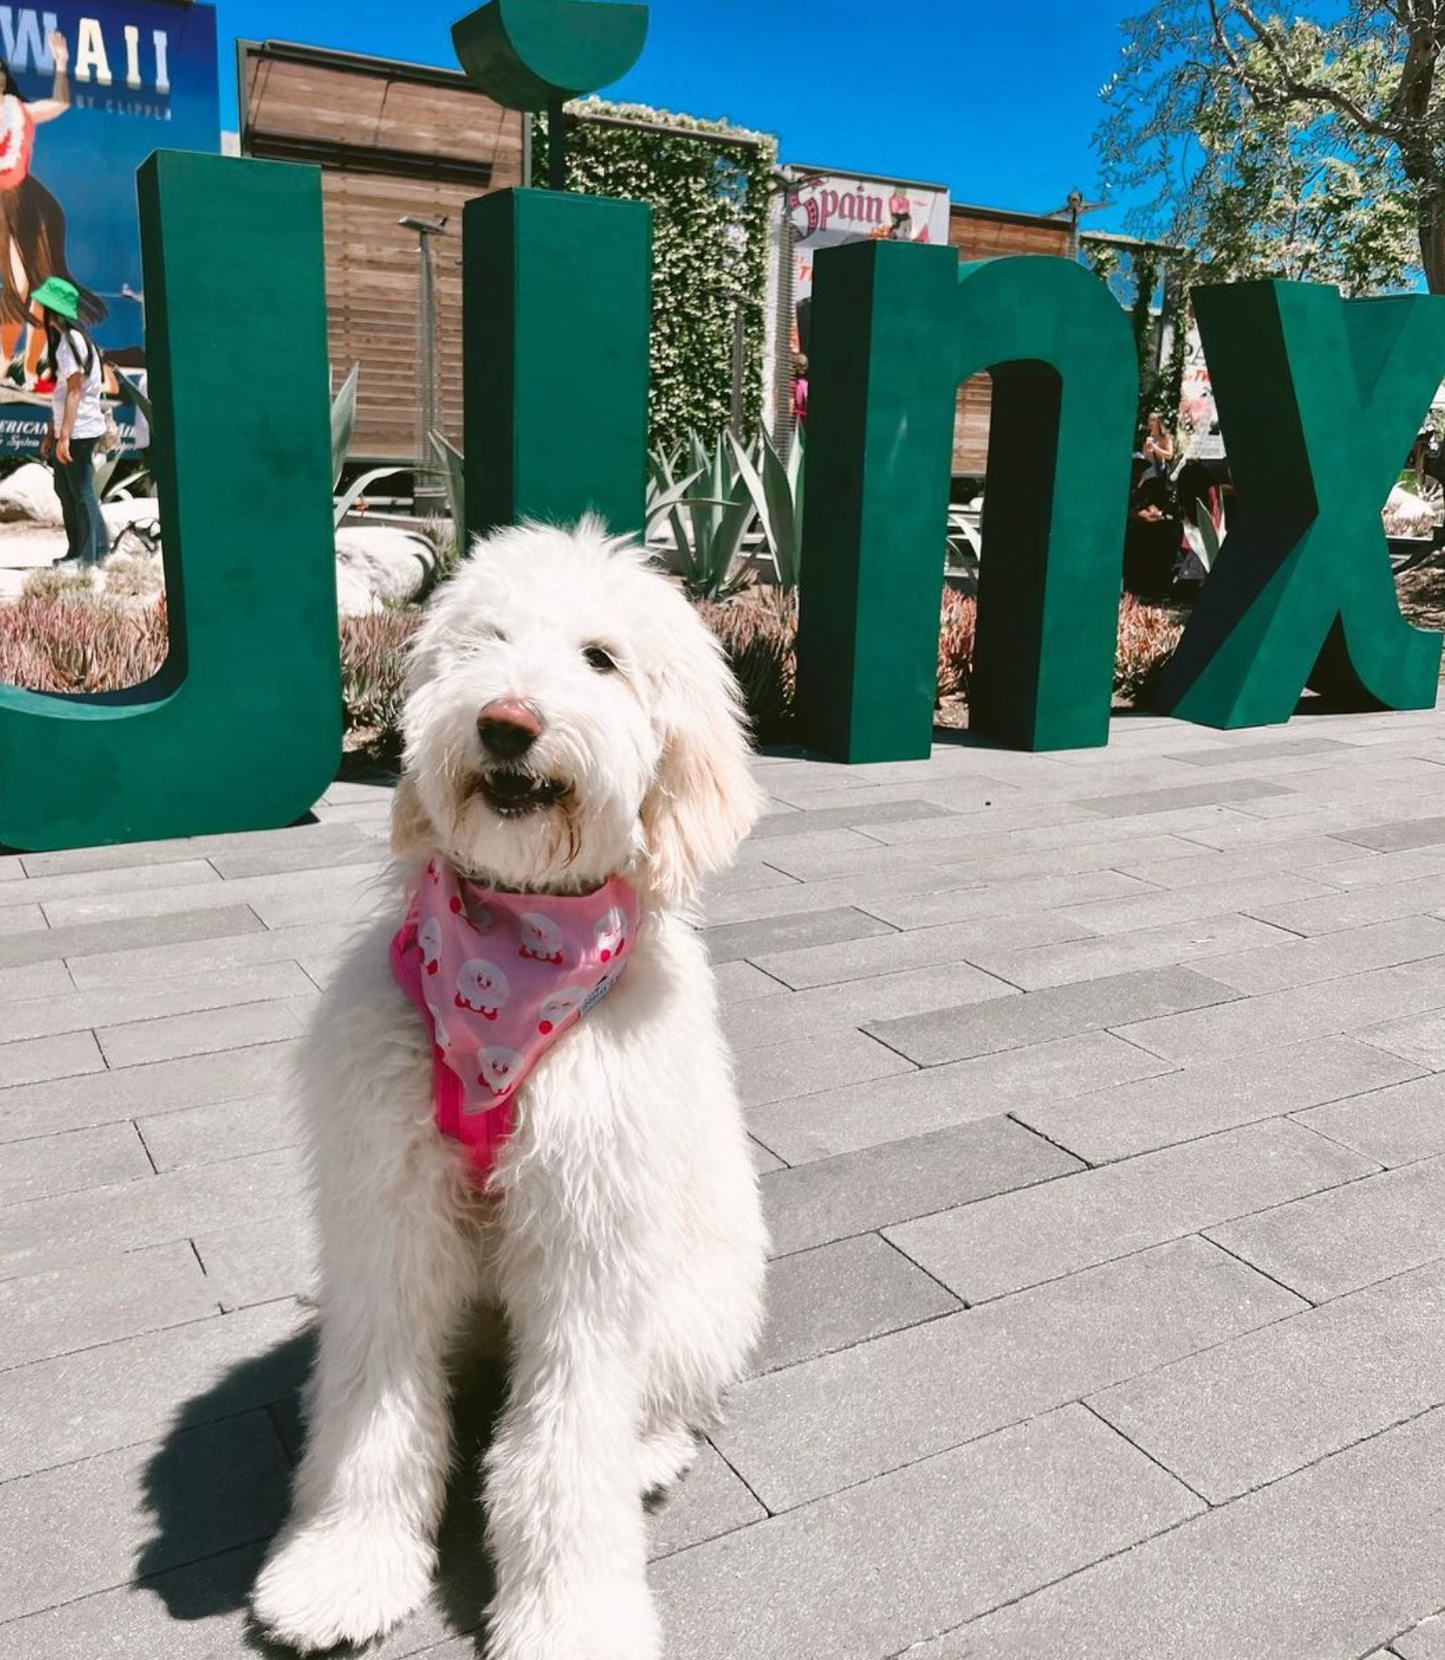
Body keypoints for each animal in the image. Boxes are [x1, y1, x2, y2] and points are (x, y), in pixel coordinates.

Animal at [252, 514, 770, 1646]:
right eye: (484, 641)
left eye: (601, 658)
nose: (504, 722)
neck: (509, 954)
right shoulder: (388, 1215)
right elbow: (376, 1403)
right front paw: (342, 1565)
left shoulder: (586, 1237)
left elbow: (566, 1444)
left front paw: (572, 1617)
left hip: (693, 1300)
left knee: (655, 1404)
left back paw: (647, 1451)